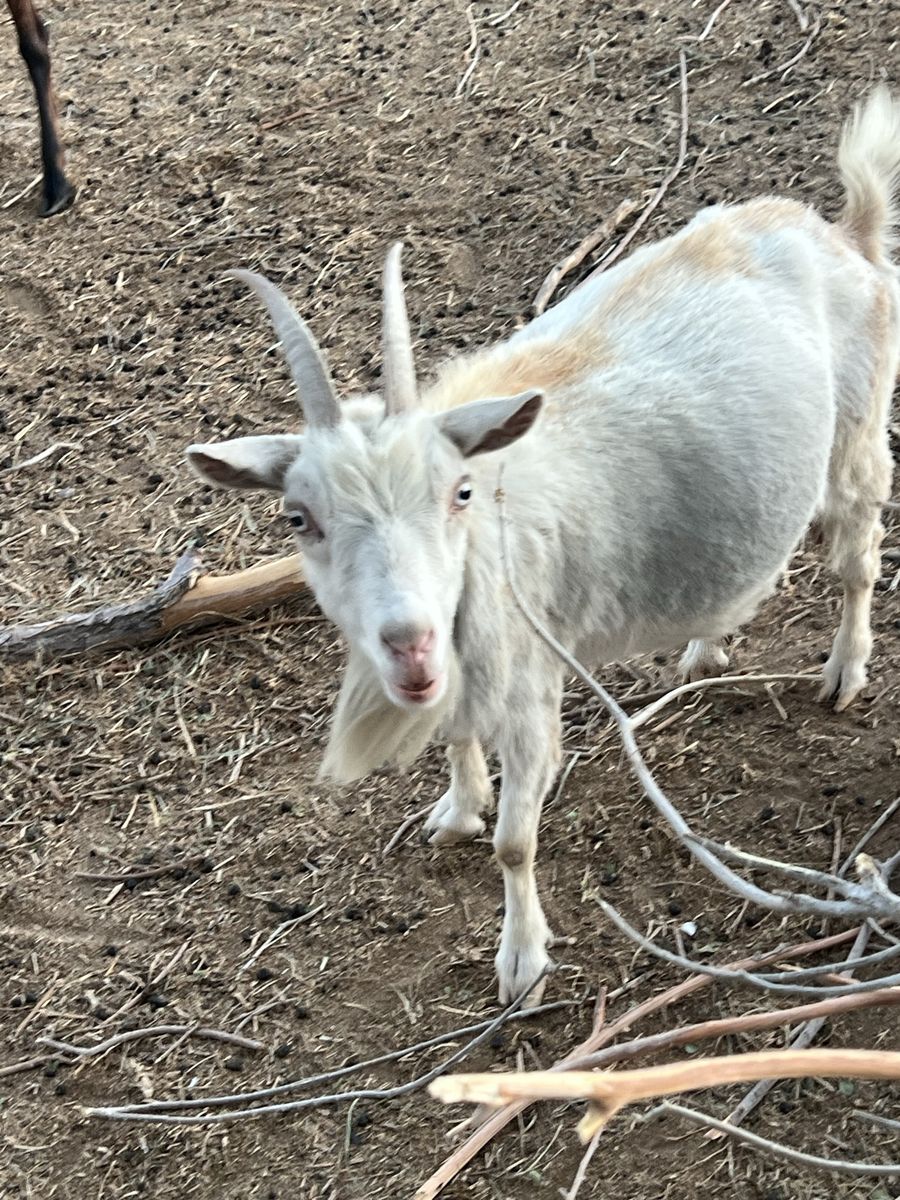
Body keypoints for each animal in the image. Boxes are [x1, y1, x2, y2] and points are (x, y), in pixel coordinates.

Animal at [186, 88, 899, 1004]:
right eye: (297, 518)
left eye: (458, 493)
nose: (408, 641)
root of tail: (844, 232)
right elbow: (457, 740)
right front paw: (457, 810)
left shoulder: (531, 681)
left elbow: (516, 843)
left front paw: (521, 964)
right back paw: (704, 647)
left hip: (857, 436)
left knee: (858, 556)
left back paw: (844, 671)